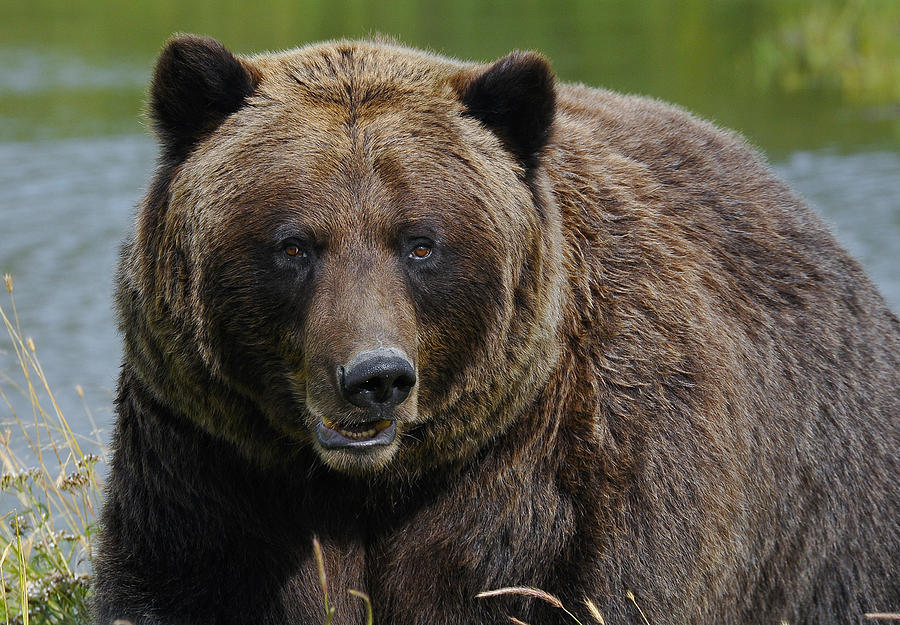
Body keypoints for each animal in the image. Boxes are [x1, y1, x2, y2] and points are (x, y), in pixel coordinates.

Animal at [93, 35, 900, 624]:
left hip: (834, 519)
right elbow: (178, 585)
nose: (375, 377)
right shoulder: (215, 471)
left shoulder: (566, 492)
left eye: (420, 241)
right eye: (294, 243)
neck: (370, 489)